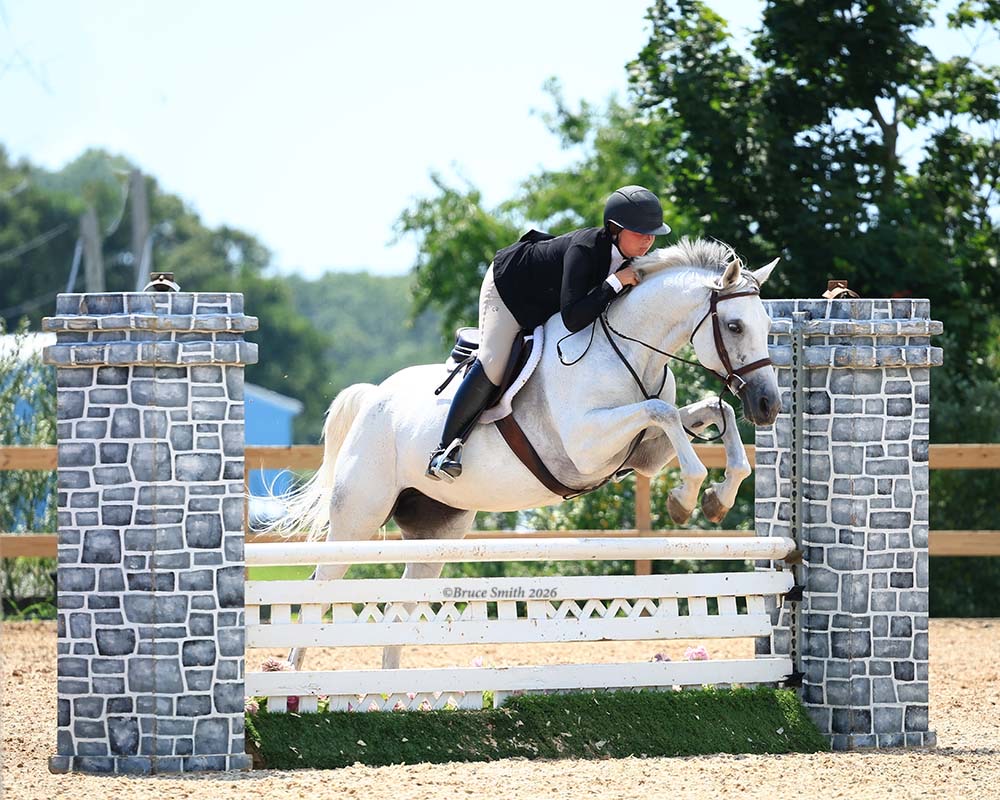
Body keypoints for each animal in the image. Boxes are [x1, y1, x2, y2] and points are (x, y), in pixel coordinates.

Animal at [270, 237, 781, 670]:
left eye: (767, 327)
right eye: (734, 325)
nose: (768, 406)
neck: (628, 349)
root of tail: (374, 397)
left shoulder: (645, 455)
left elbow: (711, 411)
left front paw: (716, 498)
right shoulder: (586, 444)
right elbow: (664, 412)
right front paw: (686, 498)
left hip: (436, 531)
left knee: (403, 603)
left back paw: (394, 693)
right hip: (358, 519)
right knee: (321, 586)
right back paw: (294, 677)